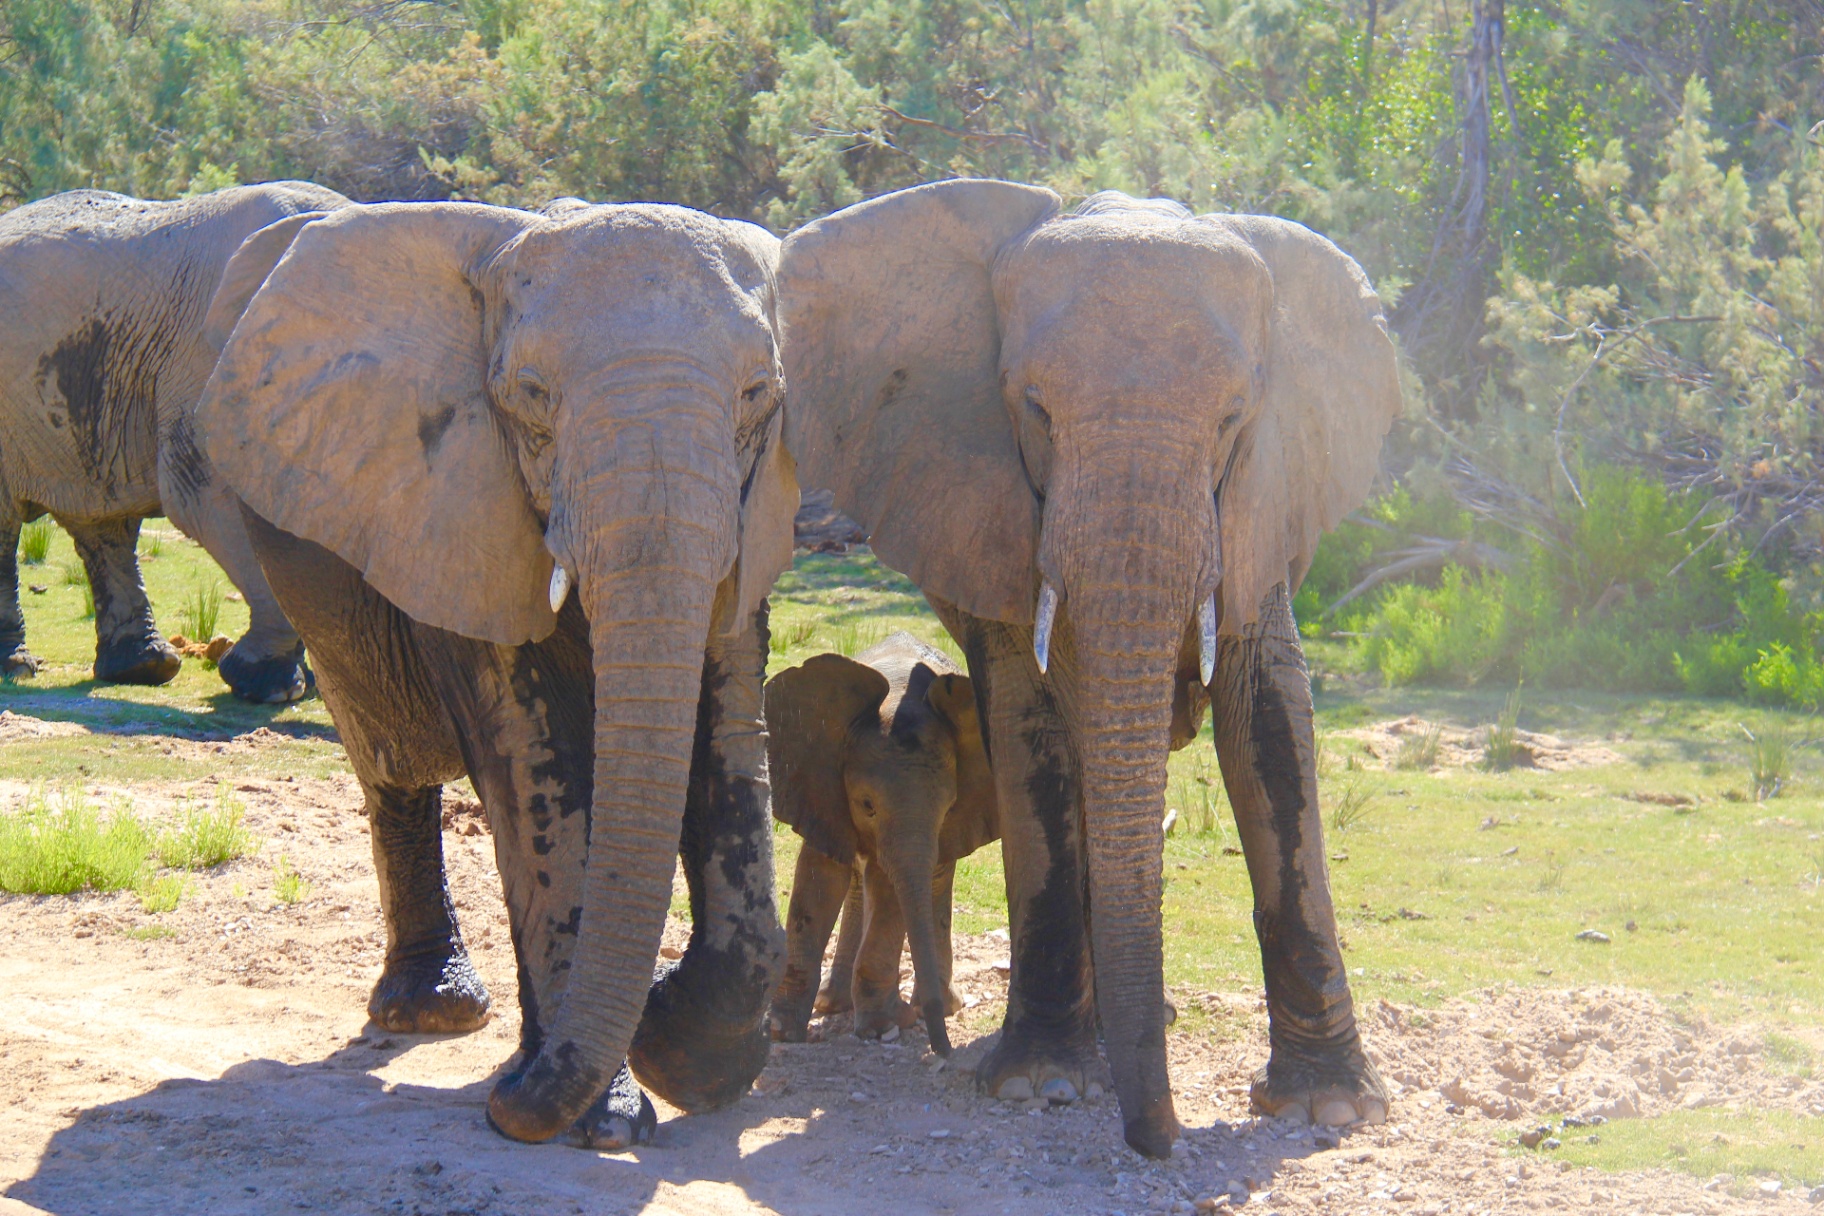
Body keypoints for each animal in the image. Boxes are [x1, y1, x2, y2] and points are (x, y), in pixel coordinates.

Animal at [0, 182, 350, 699]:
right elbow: (207, 499)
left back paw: (144, 668)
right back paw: (18, 668)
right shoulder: (206, 366)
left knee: (103, 524)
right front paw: (266, 686)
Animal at [192, 198, 799, 1145]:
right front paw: (601, 1119)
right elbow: (530, 762)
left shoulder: (751, 511)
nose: (508, 1109)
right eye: (531, 396)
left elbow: (731, 733)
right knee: (391, 764)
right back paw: (433, 1015)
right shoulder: (460, 502)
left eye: (758, 396)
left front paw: (680, 1057)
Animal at [764, 631, 998, 1055]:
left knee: (930, 880)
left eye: (948, 807)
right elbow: (819, 880)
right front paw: (779, 1032)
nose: (944, 1051)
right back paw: (836, 1003)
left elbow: (890, 889)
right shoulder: (820, 783)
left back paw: (934, 1005)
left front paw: (881, 1027)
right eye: (867, 805)